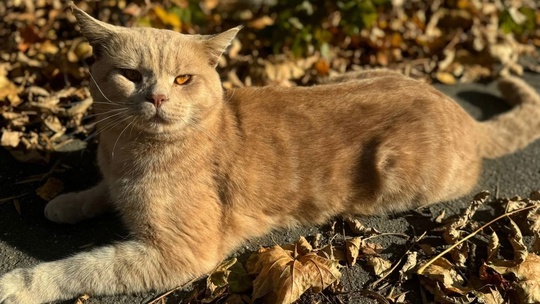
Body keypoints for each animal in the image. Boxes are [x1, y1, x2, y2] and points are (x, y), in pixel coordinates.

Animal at [1, 2, 540, 304]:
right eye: (131, 76)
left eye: (183, 79)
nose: (156, 98)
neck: (127, 152)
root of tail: (459, 111)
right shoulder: (114, 179)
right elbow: (97, 192)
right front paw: (68, 202)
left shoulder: (180, 251)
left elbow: (82, 267)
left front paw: (19, 285)